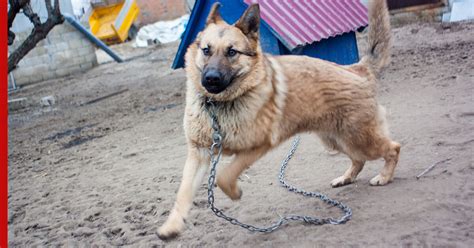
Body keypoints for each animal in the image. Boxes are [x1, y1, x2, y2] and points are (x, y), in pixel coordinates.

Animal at [159, 0, 400, 240]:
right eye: (206, 50)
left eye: (232, 52)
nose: (211, 79)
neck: (220, 105)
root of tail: (357, 68)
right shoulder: (198, 153)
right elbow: (183, 193)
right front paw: (172, 226)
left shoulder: (257, 147)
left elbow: (224, 176)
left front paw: (235, 193)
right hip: (336, 140)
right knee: (358, 160)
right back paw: (346, 178)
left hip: (360, 139)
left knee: (393, 148)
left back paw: (384, 177)